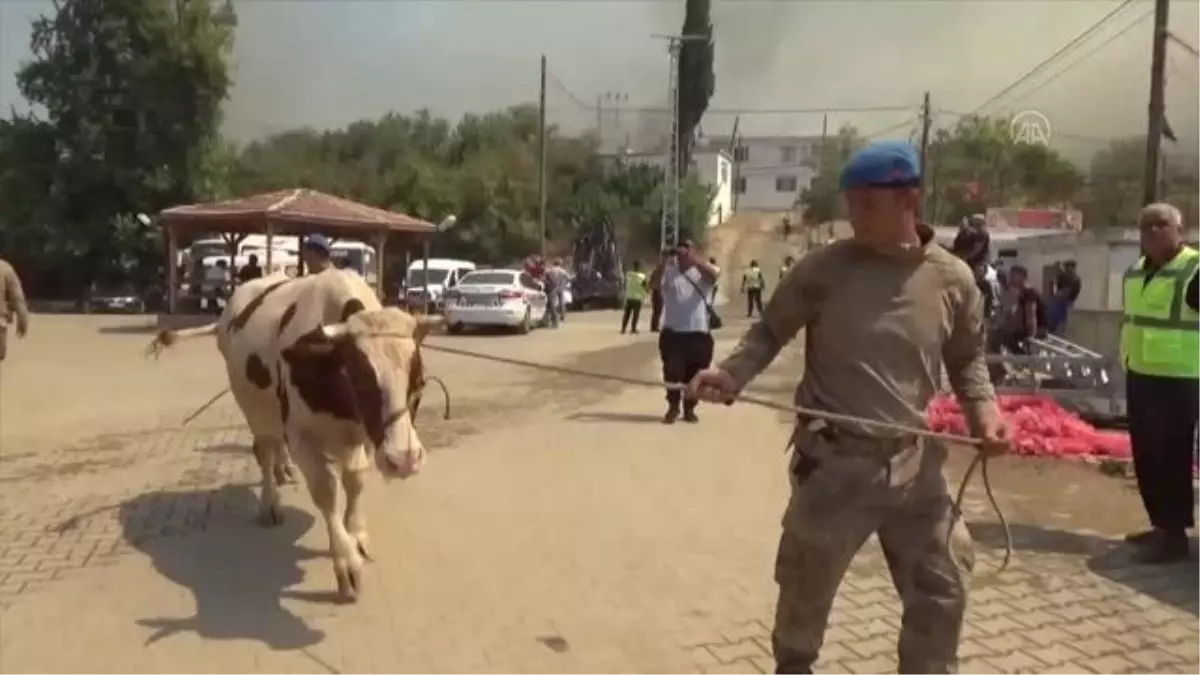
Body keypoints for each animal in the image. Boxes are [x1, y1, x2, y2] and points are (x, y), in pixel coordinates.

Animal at [150, 265, 439, 595]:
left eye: (420, 381)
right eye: (361, 381)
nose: (404, 459)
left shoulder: (364, 435)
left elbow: (355, 480)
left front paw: (357, 536)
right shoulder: (302, 436)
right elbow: (326, 492)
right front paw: (346, 561)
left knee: (277, 447)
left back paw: (284, 469)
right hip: (253, 407)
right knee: (264, 450)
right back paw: (269, 503)